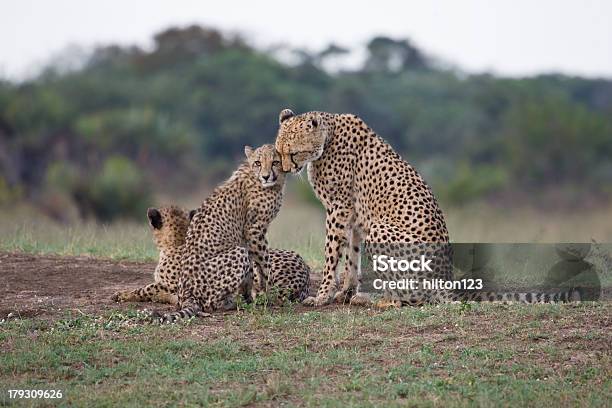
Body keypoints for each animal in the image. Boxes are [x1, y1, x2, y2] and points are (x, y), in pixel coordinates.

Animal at [163, 144, 308, 322]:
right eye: (258, 163)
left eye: (275, 162)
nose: (266, 176)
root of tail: (185, 296)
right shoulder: (254, 231)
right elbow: (264, 265)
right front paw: (268, 293)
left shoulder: (248, 238)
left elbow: (252, 271)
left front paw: (252, 298)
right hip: (237, 254)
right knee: (210, 304)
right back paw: (230, 303)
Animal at [272, 108, 580, 306]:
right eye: (279, 151)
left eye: (293, 153)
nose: (285, 170)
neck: (328, 136)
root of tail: (445, 280)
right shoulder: (355, 216)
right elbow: (351, 258)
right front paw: (344, 293)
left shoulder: (338, 210)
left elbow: (332, 255)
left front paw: (323, 295)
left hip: (381, 230)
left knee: (415, 298)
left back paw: (379, 300)